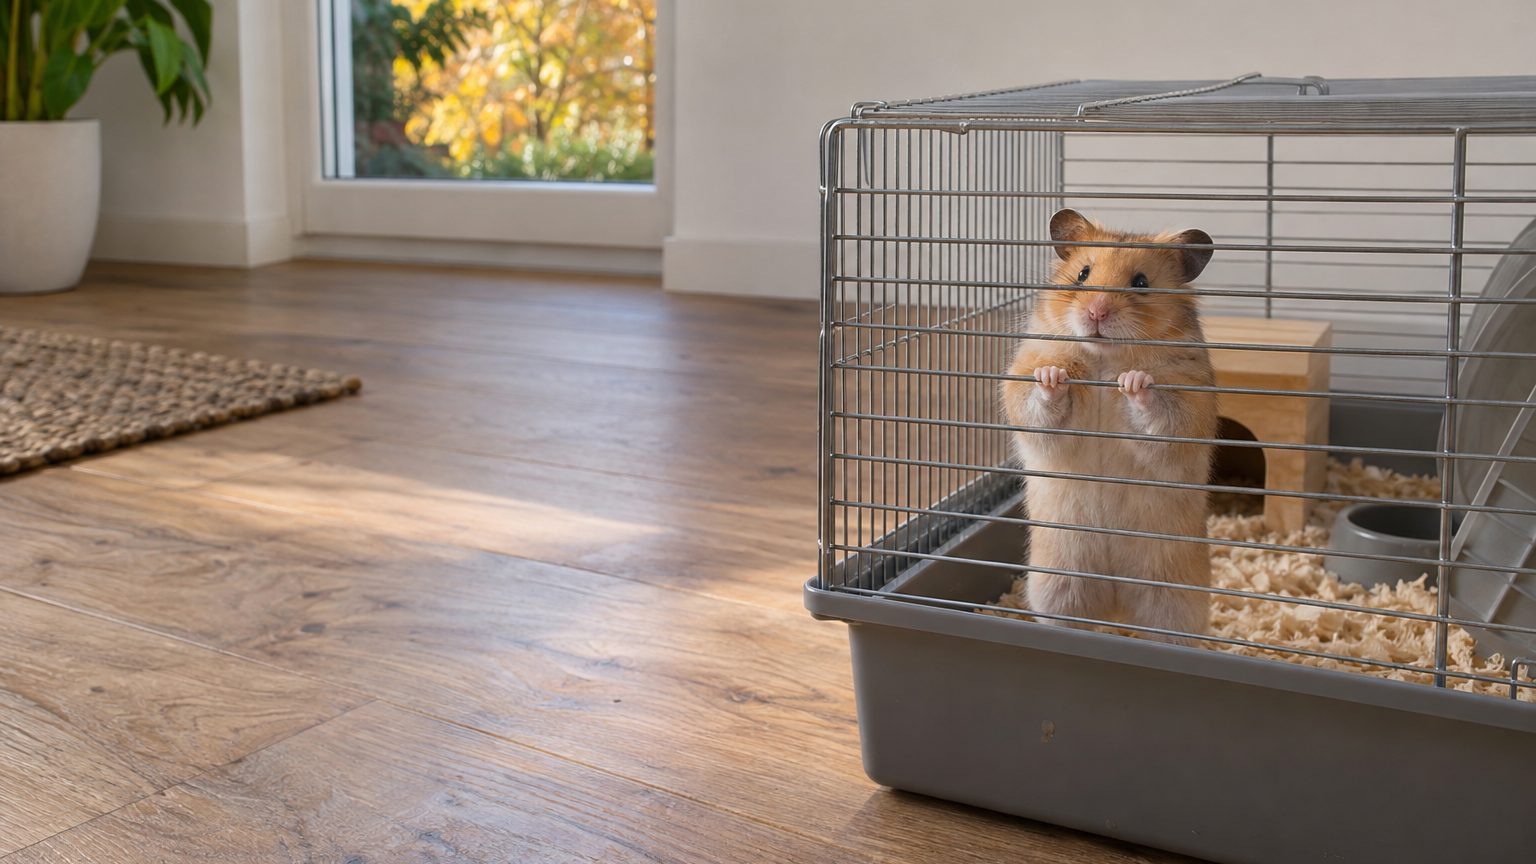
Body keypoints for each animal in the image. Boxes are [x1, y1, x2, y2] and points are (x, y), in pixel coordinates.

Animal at [1000, 208, 1219, 645]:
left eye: (1141, 282)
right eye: (1083, 274)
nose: (1097, 312)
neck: (1103, 357)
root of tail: (1117, 607)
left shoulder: (1188, 407)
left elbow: (1159, 414)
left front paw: (1133, 381)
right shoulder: (1025, 383)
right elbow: (1040, 402)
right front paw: (1054, 376)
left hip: (1175, 600)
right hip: (1057, 584)